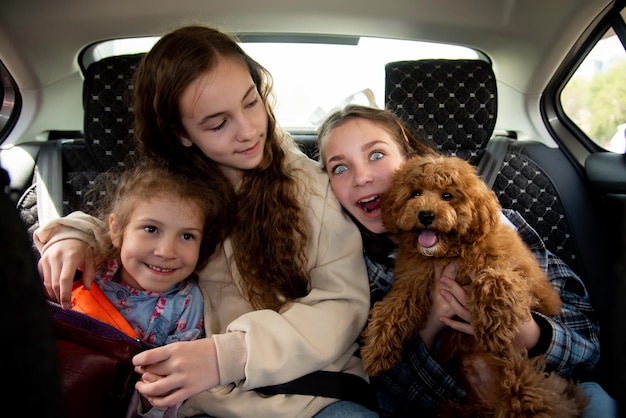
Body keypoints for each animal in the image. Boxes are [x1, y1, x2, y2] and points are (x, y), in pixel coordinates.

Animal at [358, 155, 588, 416]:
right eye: (415, 193)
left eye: (447, 195)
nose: (425, 215)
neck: (450, 251)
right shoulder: (413, 281)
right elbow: (394, 309)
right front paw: (376, 350)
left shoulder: (522, 275)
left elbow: (498, 279)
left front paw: (492, 323)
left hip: (523, 383)